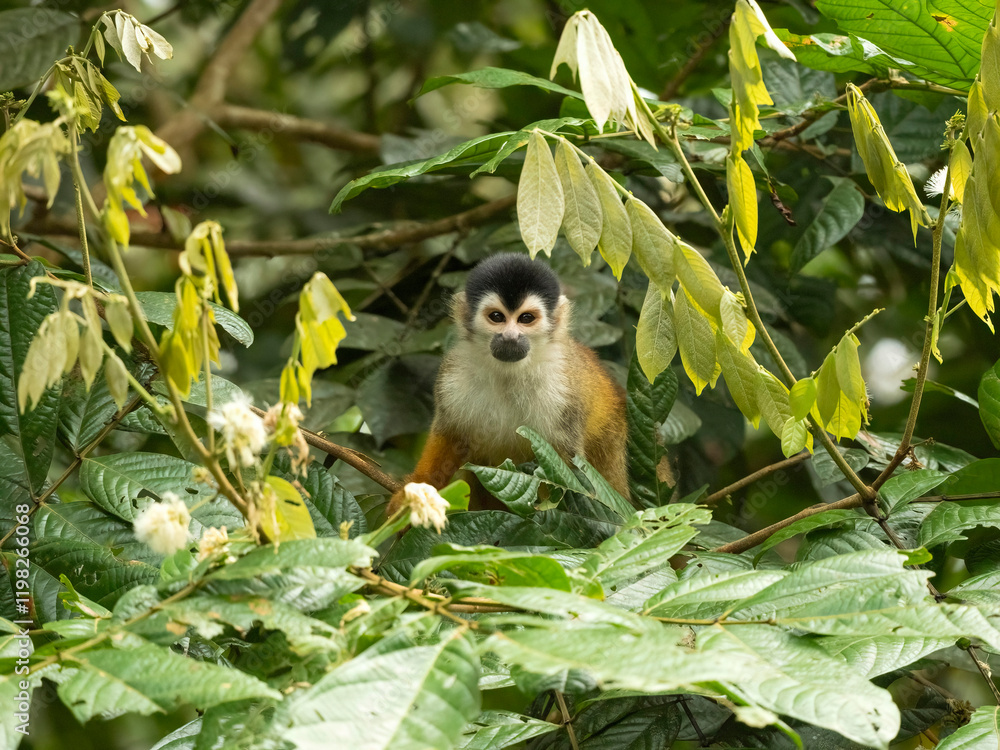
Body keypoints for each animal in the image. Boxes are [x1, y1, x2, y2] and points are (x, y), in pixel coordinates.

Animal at [387, 252, 630, 516]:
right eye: (497, 317)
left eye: (526, 318)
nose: (510, 337)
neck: (510, 373)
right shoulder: (452, 375)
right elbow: (451, 435)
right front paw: (415, 495)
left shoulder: (564, 392)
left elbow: (566, 464)